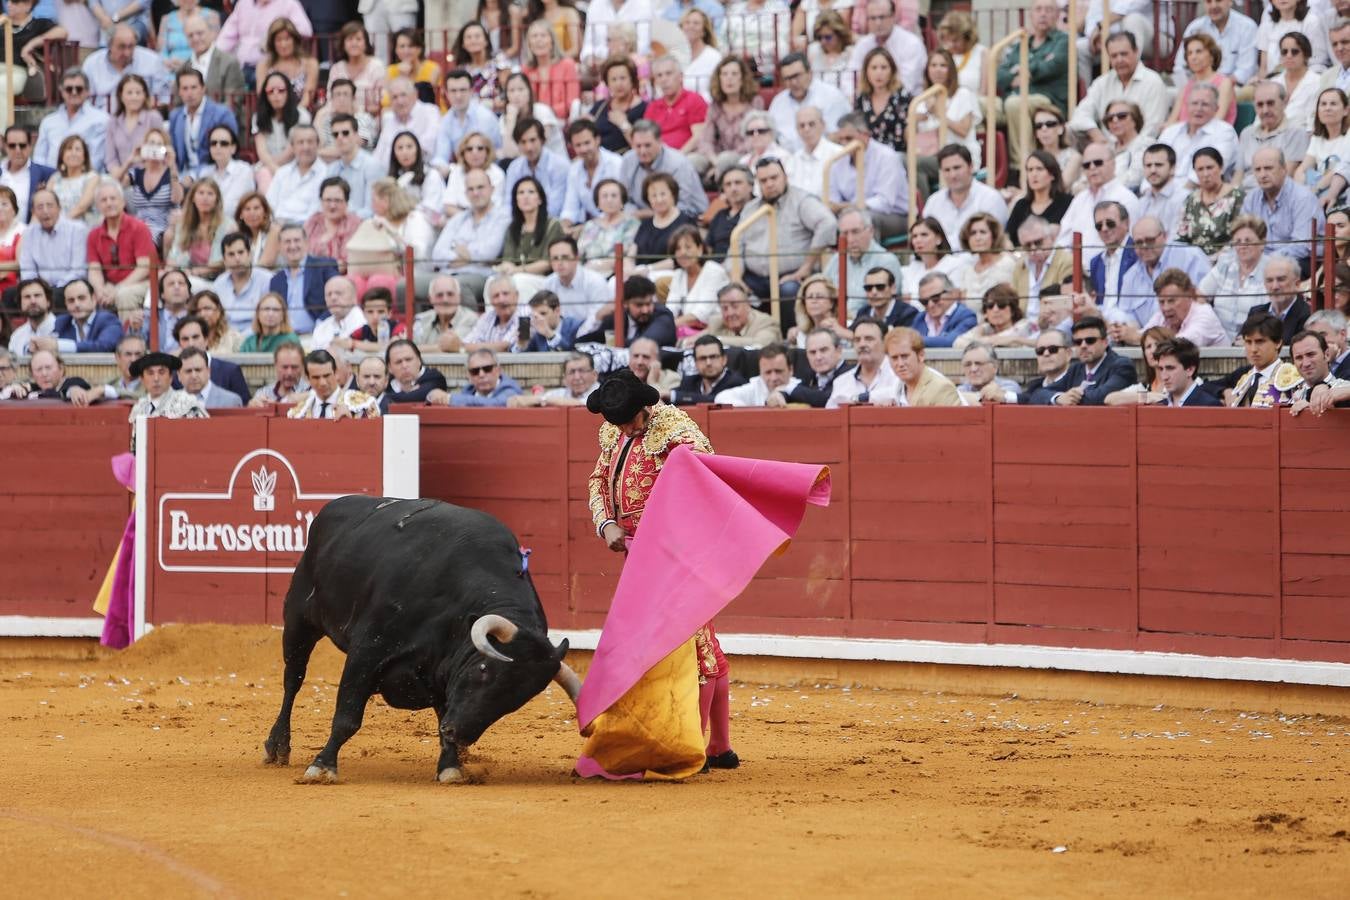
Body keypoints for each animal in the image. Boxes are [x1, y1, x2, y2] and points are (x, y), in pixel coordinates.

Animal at [263, 496, 580, 782]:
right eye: (483, 669)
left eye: (518, 699)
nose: (457, 732)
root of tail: (333, 506)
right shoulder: (367, 650)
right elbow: (347, 717)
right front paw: (322, 766)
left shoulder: (442, 671)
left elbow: (443, 711)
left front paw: (450, 767)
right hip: (298, 621)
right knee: (293, 680)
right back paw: (277, 746)